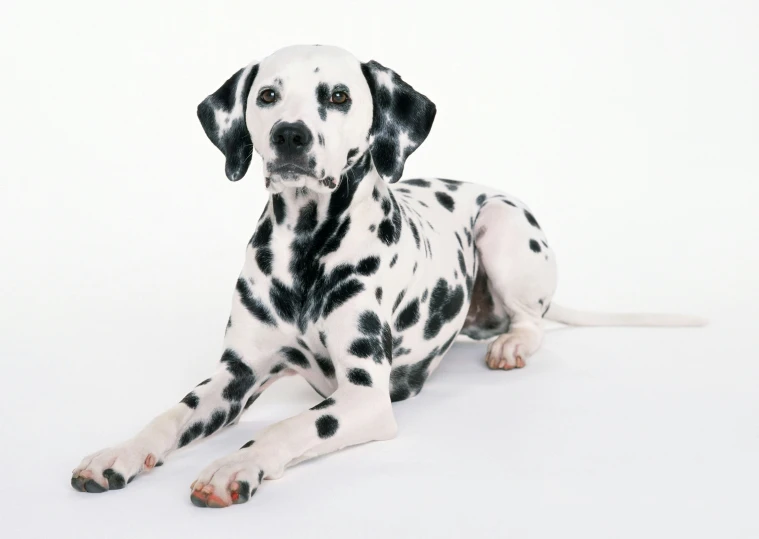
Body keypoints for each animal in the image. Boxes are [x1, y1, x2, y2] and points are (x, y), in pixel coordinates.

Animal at [71, 44, 708, 508]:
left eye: (338, 96)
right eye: (268, 95)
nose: (289, 135)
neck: (304, 251)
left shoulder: (363, 397)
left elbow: (285, 429)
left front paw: (235, 463)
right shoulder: (234, 377)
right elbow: (169, 415)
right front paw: (117, 454)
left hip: (502, 225)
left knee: (532, 320)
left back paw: (512, 345)